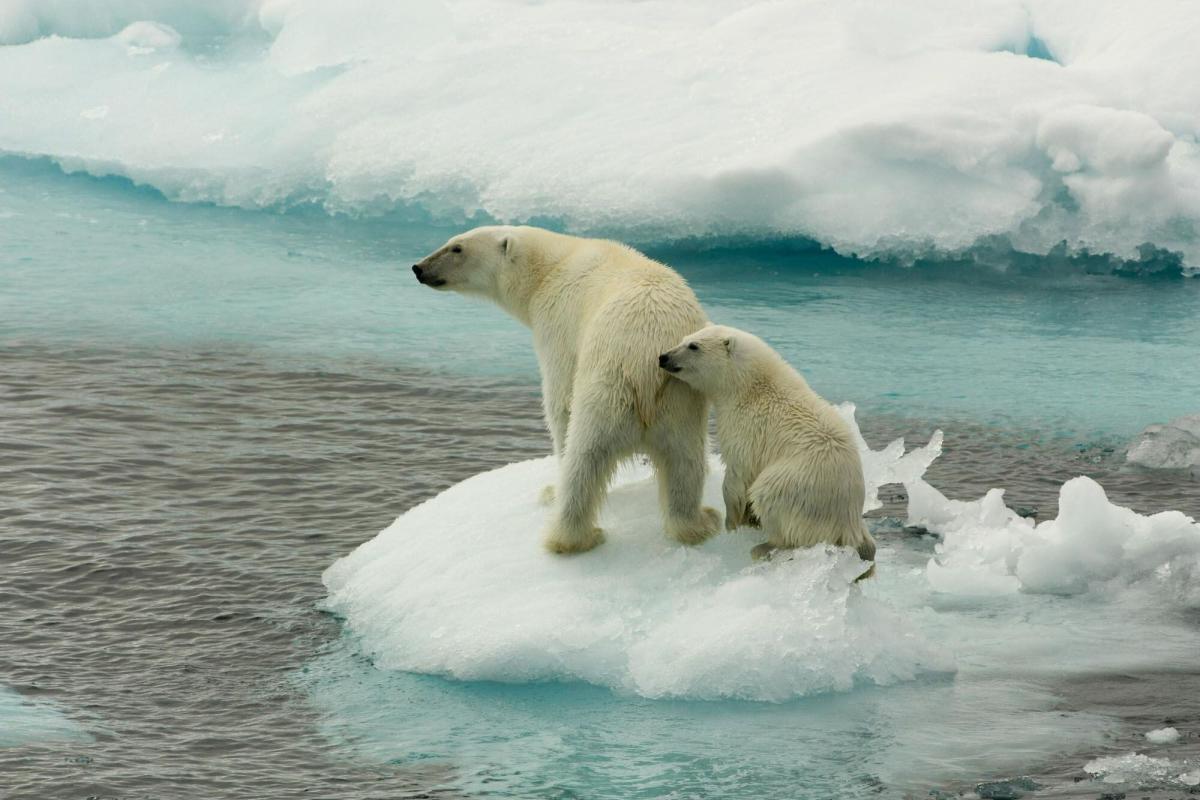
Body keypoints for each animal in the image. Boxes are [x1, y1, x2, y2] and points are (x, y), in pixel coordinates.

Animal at [410, 221, 720, 554]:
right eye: (451, 241)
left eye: (457, 247)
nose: (419, 268)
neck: (551, 266)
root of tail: (645, 364)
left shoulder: (557, 323)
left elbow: (559, 398)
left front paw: (549, 487)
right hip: (681, 400)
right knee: (684, 461)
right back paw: (698, 522)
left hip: (608, 387)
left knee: (584, 457)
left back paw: (569, 531)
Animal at [662, 321, 878, 573]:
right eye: (683, 339)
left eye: (693, 346)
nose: (663, 357)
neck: (749, 385)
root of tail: (847, 520)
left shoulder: (747, 427)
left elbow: (737, 475)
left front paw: (732, 523)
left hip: (798, 485)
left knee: (769, 495)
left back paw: (764, 546)